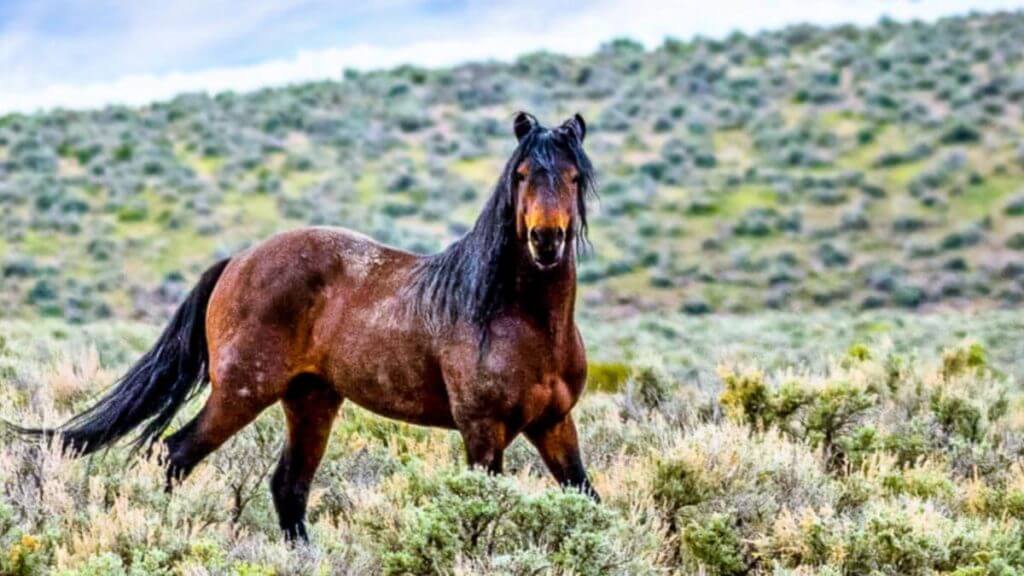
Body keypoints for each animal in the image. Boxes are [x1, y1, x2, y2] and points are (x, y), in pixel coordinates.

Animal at [14, 109, 598, 541]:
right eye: (521, 176)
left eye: (573, 177)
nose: (546, 240)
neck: (516, 318)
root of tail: (237, 261)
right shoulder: (482, 430)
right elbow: (482, 513)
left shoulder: (554, 423)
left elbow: (586, 497)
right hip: (242, 392)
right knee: (177, 453)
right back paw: (165, 531)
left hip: (311, 400)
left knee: (288, 487)